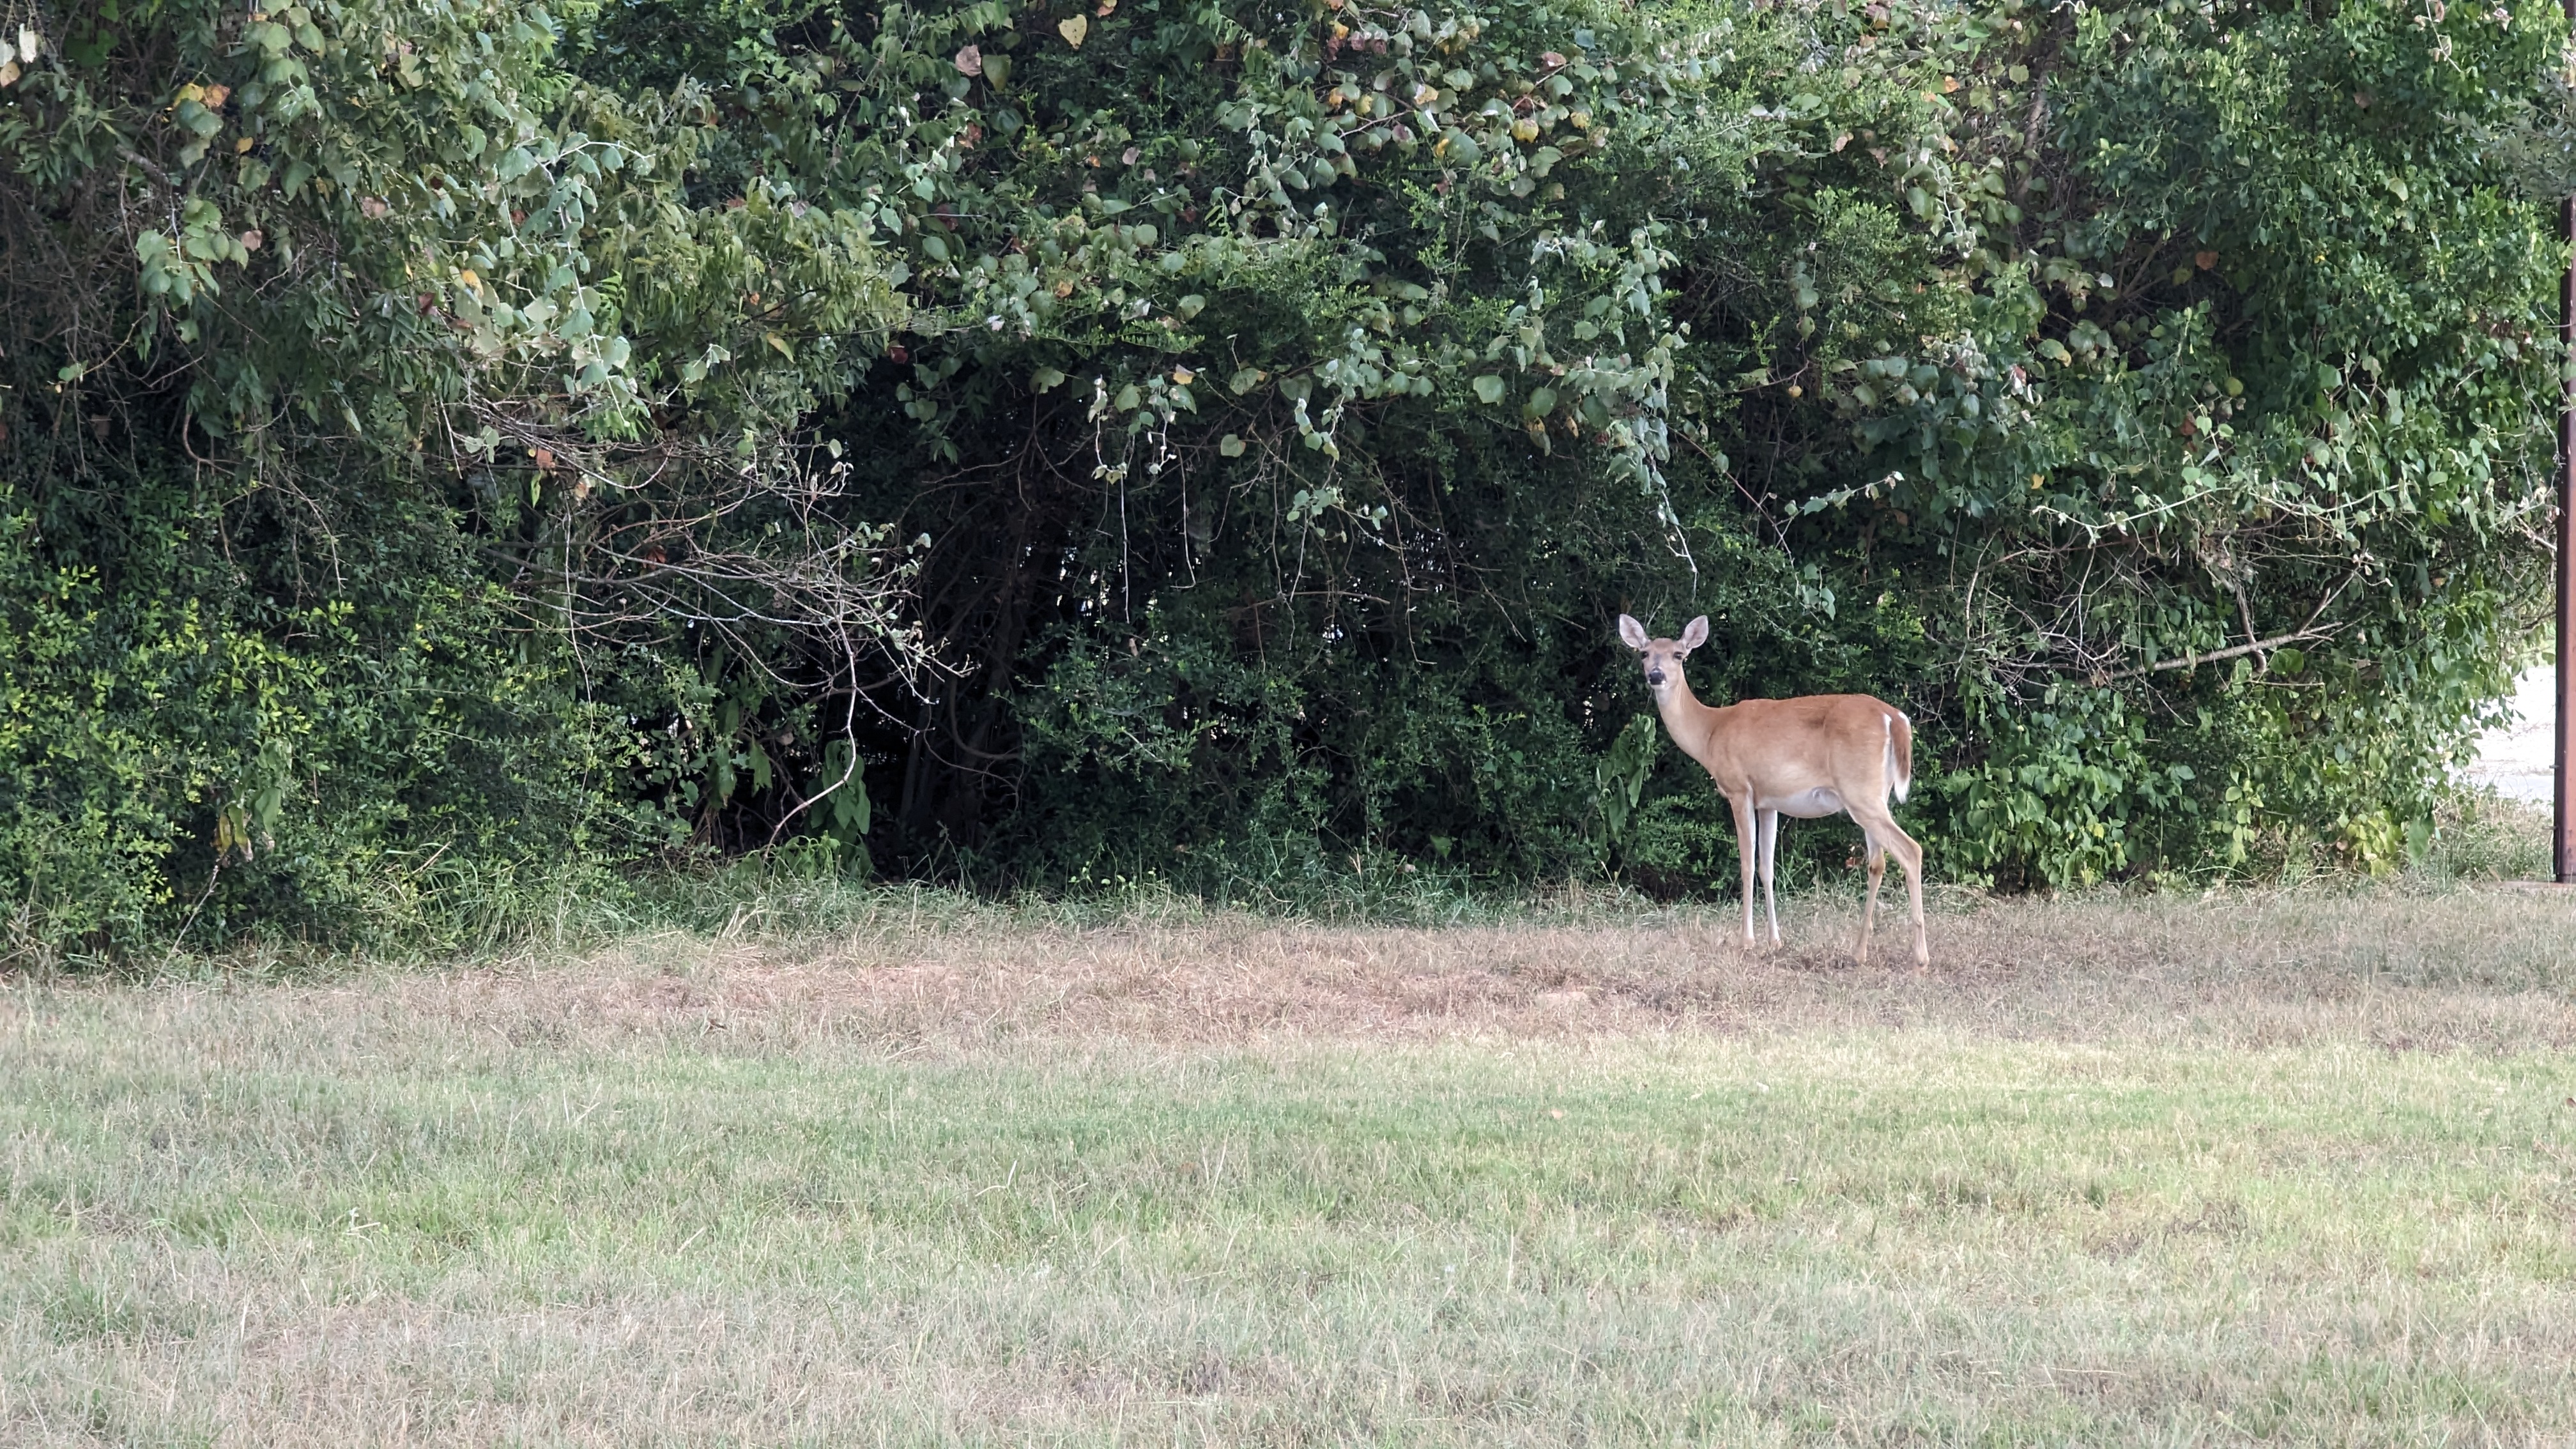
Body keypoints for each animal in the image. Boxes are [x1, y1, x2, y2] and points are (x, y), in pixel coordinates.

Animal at [1618, 614, 1928, 967]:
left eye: (1678, 655)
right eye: (1644, 653)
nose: (1656, 676)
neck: (1710, 732)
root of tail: (1895, 719)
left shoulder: (1739, 788)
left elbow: (1746, 864)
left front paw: (1747, 940)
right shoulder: (1768, 801)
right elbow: (1767, 867)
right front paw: (1775, 941)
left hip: (1860, 791)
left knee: (1910, 850)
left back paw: (1920, 957)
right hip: (1875, 794)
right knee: (1878, 862)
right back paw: (1859, 952)